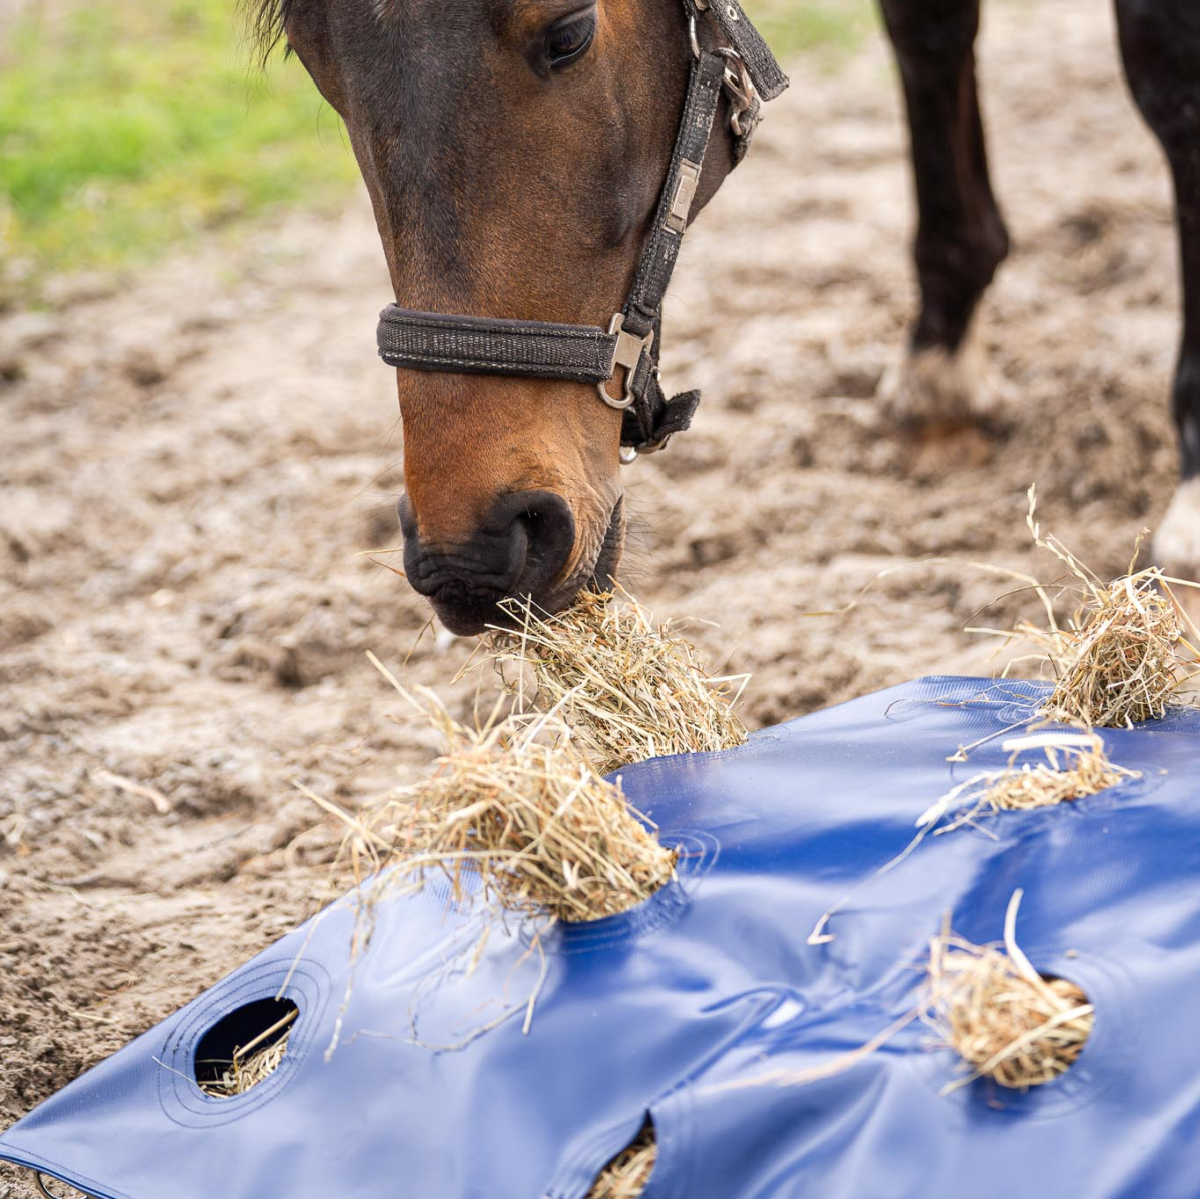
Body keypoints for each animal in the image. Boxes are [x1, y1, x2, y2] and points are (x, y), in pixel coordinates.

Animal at [253, 2, 1200, 638]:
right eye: (311, 52)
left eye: (569, 30)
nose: (475, 555)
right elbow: (927, 30)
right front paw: (943, 364)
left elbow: (1170, 86)